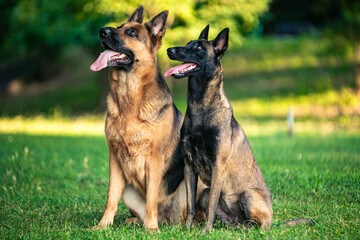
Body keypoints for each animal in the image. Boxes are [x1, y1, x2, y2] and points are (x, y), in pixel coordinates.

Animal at [89, 5, 188, 231]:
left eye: (132, 33)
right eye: (119, 27)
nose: (102, 31)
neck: (130, 100)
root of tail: (167, 220)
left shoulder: (154, 160)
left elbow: (151, 199)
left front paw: (151, 229)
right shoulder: (115, 160)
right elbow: (111, 197)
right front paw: (103, 226)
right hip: (128, 189)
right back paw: (135, 221)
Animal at [164, 25, 272, 232]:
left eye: (198, 47)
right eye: (188, 43)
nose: (169, 50)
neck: (201, 106)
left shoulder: (218, 166)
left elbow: (212, 206)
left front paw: (206, 231)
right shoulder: (189, 166)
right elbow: (190, 204)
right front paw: (188, 228)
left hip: (249, 195)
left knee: (264, 224)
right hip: (206, 194)